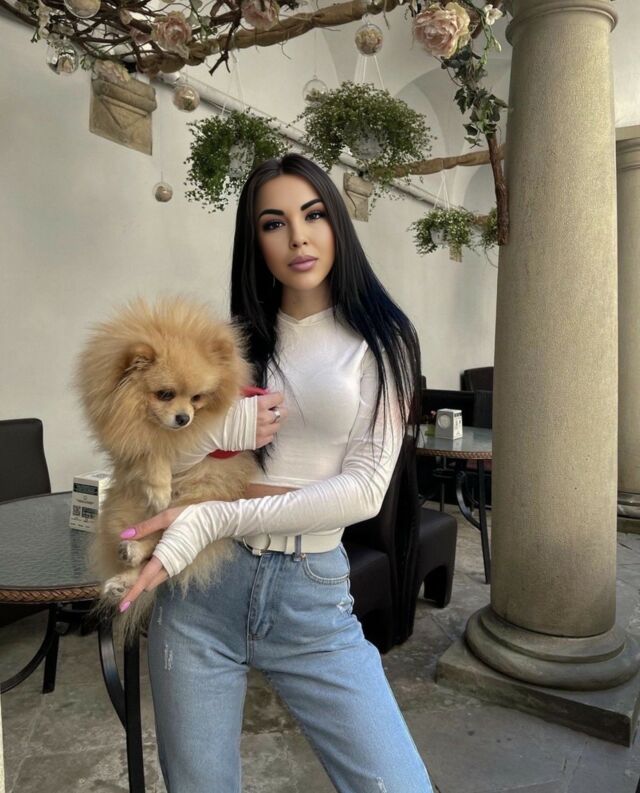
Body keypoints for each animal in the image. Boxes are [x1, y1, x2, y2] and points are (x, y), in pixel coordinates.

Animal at [75, 296, 257, 644]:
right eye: (165, 394)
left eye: (197, 398)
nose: (184, 418)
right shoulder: (125, 438)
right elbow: (149, 449)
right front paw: (158, 482)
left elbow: (168, 446)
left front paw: (160, 484)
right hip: (122, 512)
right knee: (148, 550)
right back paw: (126, 566)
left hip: (192, 508)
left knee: (159, 546)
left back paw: (131, 560)